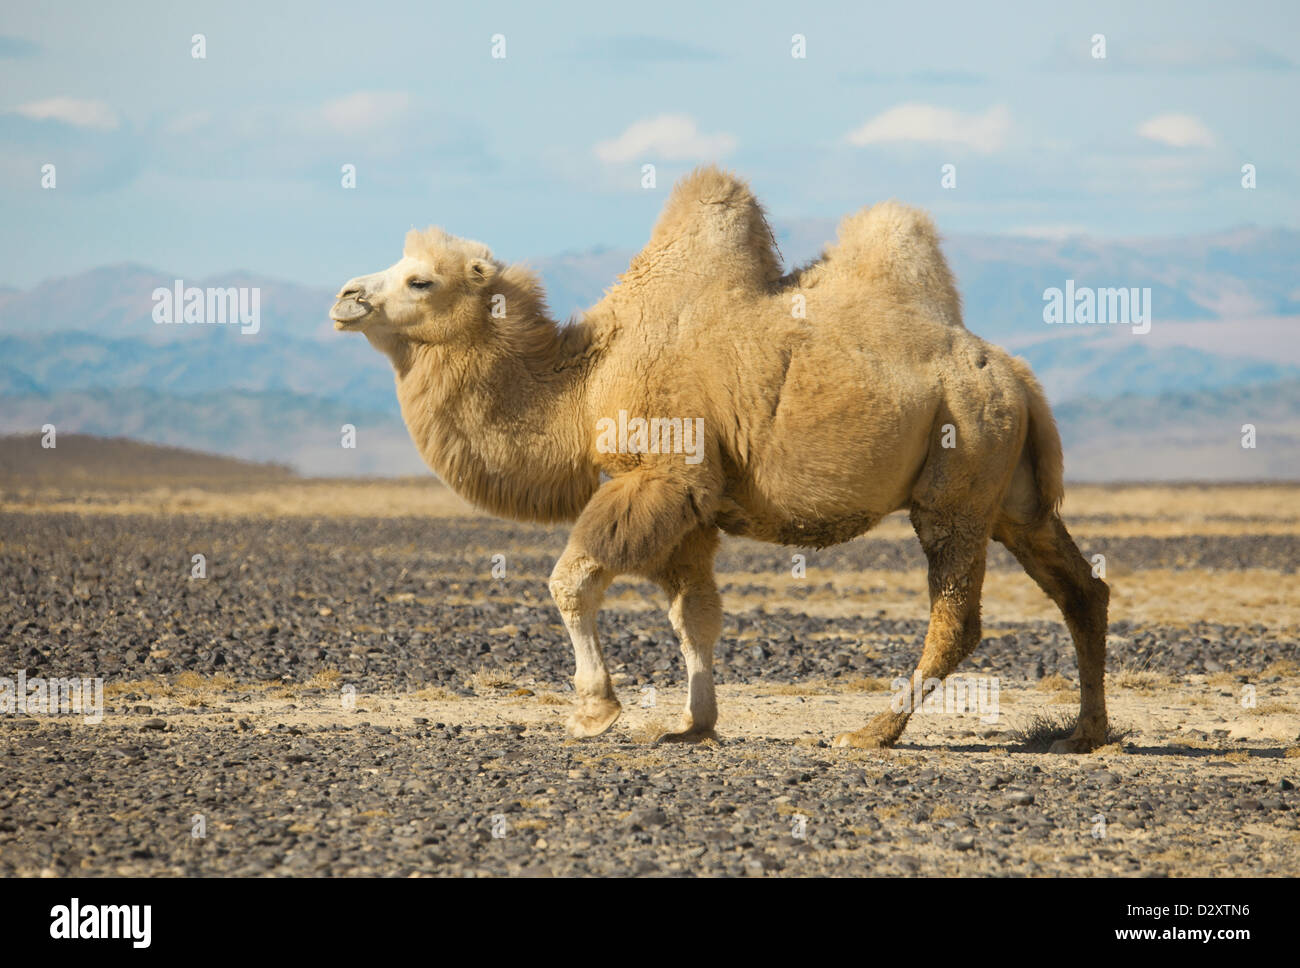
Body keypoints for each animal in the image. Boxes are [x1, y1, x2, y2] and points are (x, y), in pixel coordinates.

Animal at [332, 166, 1107, 753]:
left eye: (421, 281)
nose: (345, 296)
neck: (587, 380)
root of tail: (1017, 377)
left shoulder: (661, 471)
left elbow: (573, 580)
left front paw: (593, 711)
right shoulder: (698, 504)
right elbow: (694, 612)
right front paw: (690, 723)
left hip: (960, 471)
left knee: (958, 615)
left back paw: (872, 731)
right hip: (1013, 495)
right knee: (1081, 588)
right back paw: (1086, 732)